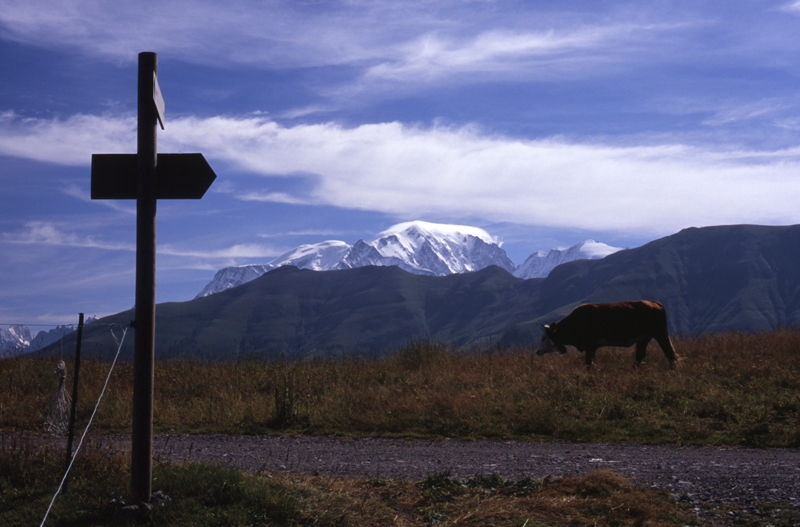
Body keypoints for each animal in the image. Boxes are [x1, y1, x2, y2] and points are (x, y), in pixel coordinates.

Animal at [536, 301, 678, 369]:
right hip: (643, 338)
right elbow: (588, 362)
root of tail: (654, 303)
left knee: (669, 350)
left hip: (660, 333)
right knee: (640, 354)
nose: (537, 351)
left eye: (544, 338)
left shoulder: (591, 345)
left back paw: (673, 368)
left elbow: (588, 362)